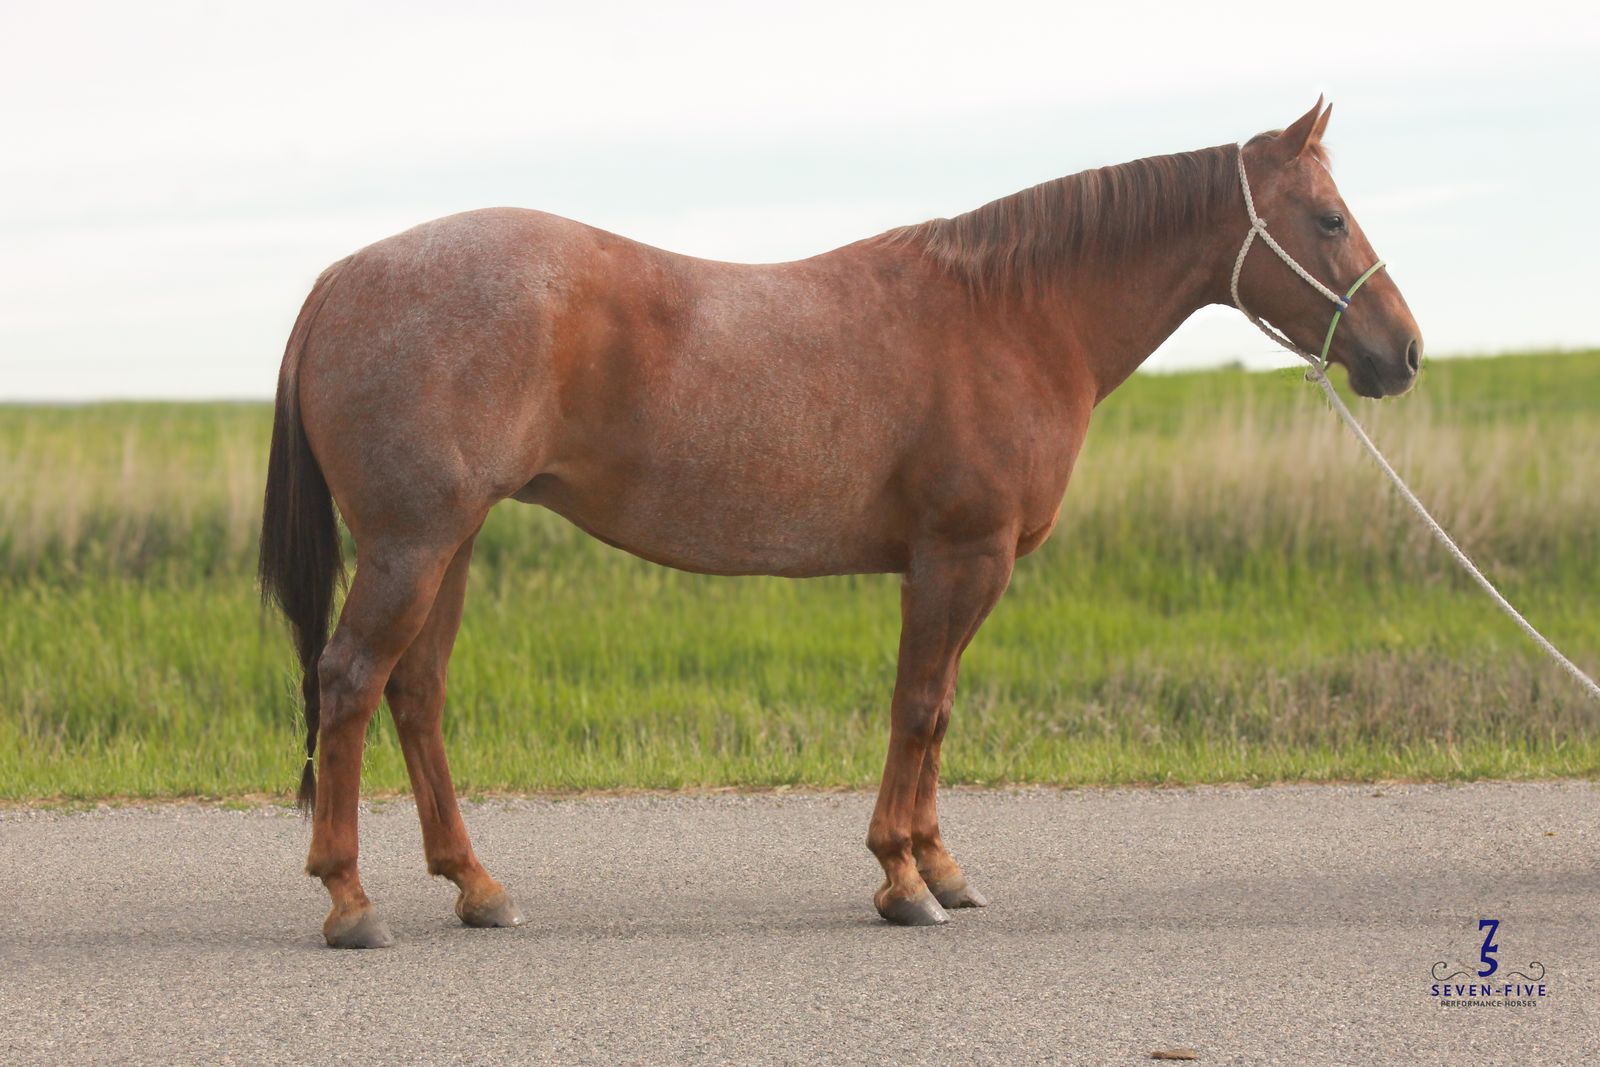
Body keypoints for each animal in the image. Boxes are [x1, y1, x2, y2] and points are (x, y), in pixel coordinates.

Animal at [260, 99, 1422, 947]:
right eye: (1327, 219)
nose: (1402, 352)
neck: (1013, 313)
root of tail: (341, 276)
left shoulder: (954, 569)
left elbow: (939, 711)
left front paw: (942, 866)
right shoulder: (959, 558)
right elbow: (917, 707)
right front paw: (902, 878)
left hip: (446, 543)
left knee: (415, 692)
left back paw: (476, 884)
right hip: (412, 545)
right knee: (350, 682)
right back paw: (349, 899)